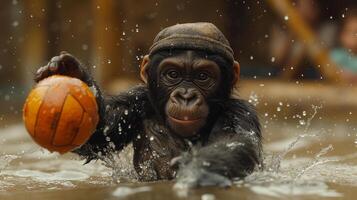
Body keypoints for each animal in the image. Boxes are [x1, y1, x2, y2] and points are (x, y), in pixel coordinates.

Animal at [34, 22, 262, 187]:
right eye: (173, 74)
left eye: (203, 76)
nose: (186, 96)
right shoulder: (136, 101)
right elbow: (101, 134)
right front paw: (72, 70)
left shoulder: (239, 114)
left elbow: (235, 144)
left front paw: (196, 172)